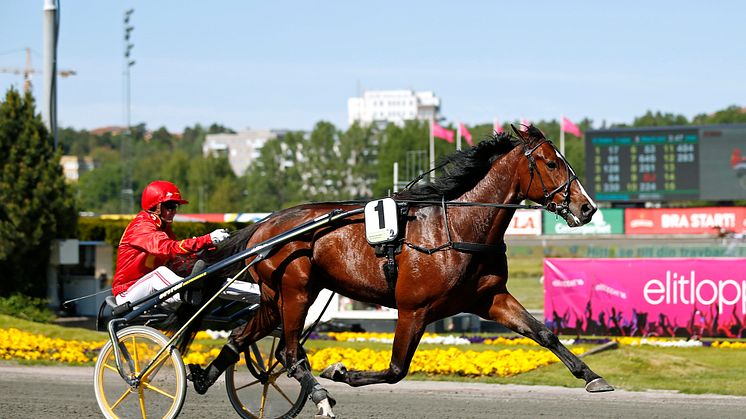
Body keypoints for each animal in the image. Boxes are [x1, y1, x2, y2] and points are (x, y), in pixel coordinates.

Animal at [192, 126, 612, 418]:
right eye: (552, 163)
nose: (588, 207)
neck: (456, 228)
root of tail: (266, 224)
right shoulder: (414, 309)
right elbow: (396, 369)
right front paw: (339, 371)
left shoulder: (490, 298)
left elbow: (544, 333)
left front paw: (594, 377)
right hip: (296, 291)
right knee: (290, 352)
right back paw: (319, 396)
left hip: (274, 295)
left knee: (243, 335)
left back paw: (204, 377)